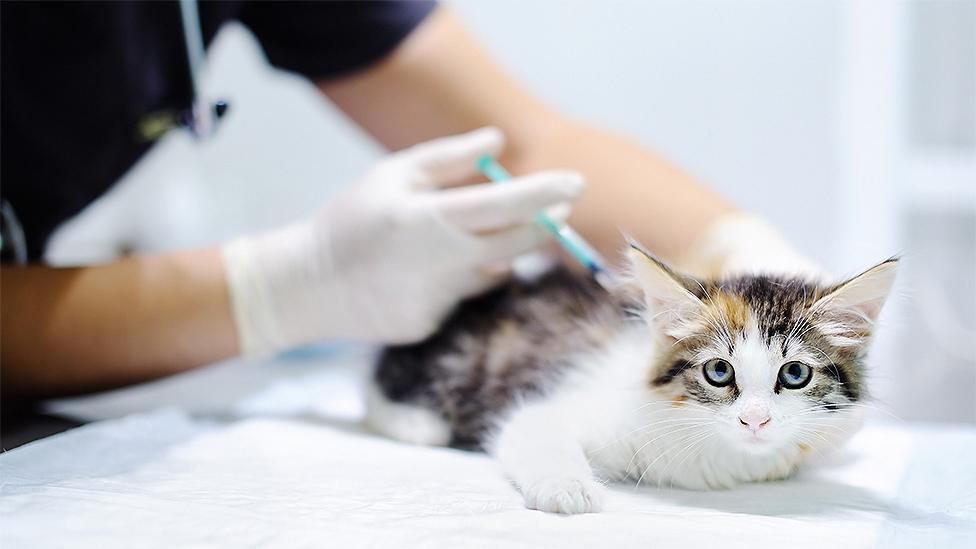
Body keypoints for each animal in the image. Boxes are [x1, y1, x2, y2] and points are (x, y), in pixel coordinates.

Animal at [368, 244, 900, 512]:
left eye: (794, 374)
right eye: (719, 371)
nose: (755, 421)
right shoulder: (549, 405)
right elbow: (537, 434)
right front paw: (568, 489)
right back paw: (417, 424)